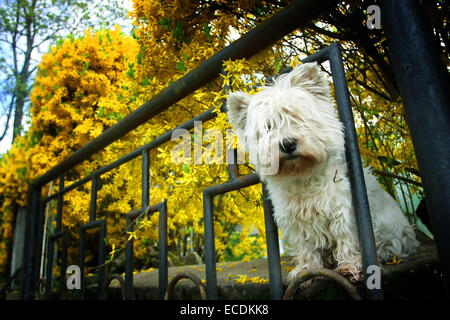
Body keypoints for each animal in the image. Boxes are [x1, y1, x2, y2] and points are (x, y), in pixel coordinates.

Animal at [227, 62, 420, 280]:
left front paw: (350, 266)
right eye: (268, 127)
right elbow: (304, 246)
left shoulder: (343, 209)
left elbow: (346, 237)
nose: (287, 144)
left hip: (393, 233)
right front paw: (306, 269)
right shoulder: (294, 219)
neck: (303, 175)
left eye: (298, 118)